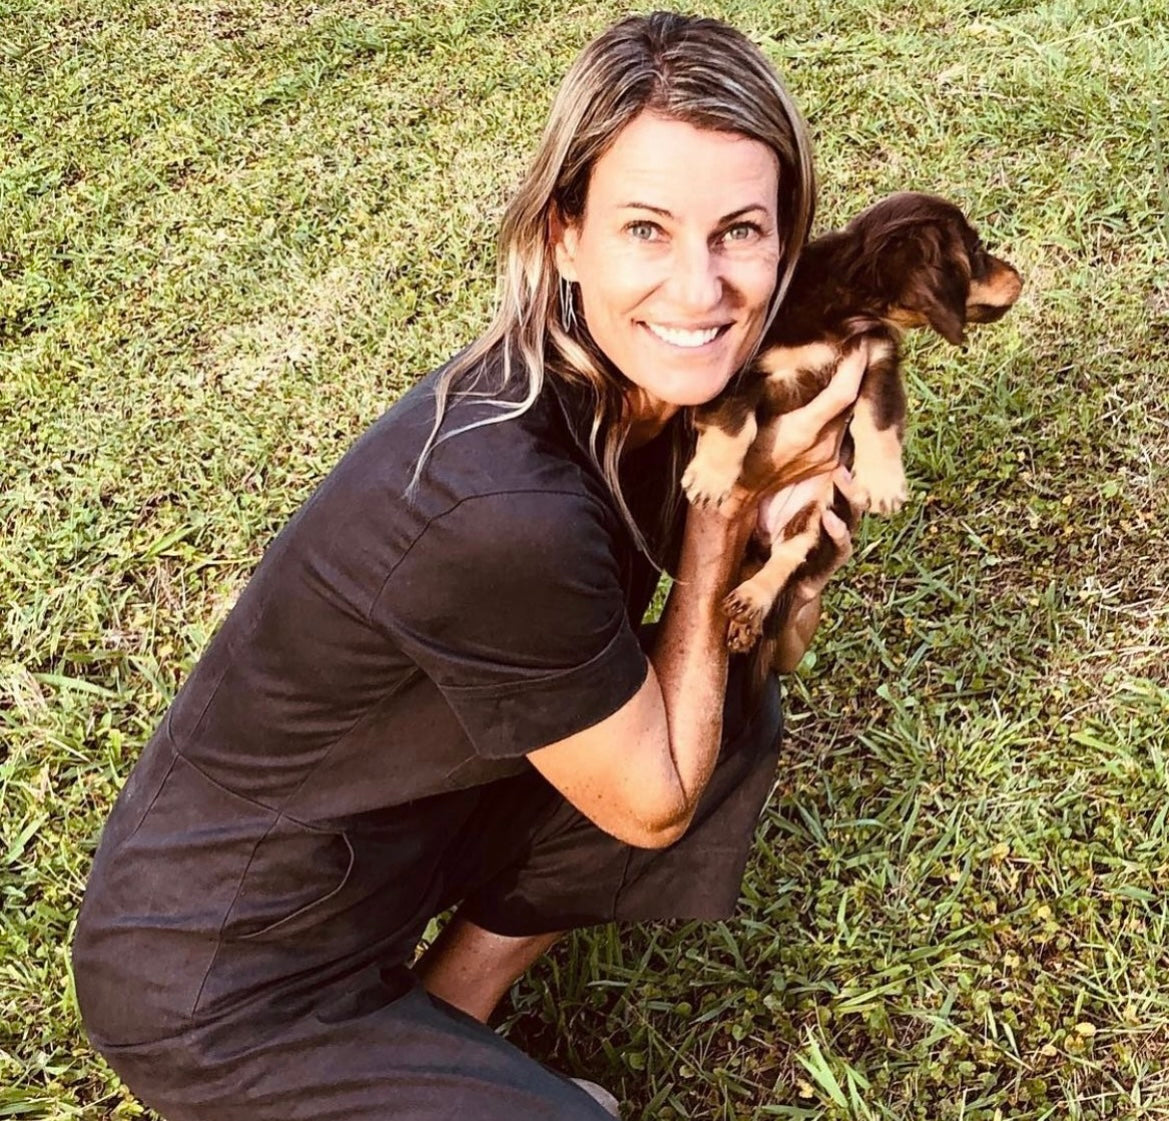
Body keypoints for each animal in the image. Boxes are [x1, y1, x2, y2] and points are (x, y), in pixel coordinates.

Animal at [681, 191, 1023, 660]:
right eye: (975, 250)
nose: (1019, 276)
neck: (850, 305)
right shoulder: (740, 372)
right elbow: (735, 423)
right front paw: (711, 478)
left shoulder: (878, 364)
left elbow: (876, 427)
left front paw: (883, 485)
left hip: (818, 512)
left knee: (789, 555)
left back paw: (751, 602)